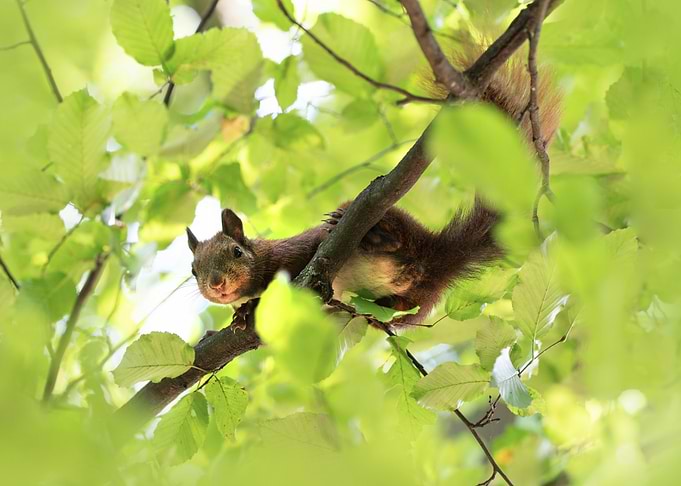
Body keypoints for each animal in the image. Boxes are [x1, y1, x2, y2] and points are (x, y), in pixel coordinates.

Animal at [186, 45, 560, 326]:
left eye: (236, 252)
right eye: (193, 270)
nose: (217, 285)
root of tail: (435, 256)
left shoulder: (292, 255)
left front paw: (249, 307)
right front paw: (242, 313)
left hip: (393, 220)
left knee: (397, 237)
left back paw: (374, 234)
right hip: (416, 303)